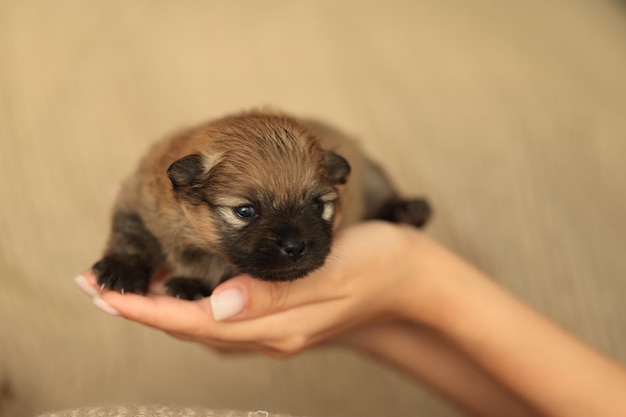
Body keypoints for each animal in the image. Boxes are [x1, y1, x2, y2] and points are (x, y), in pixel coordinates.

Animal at [91, 110, 428, 300]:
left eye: (318, 206)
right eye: (245, 211)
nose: (295, 247)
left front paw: (192, 279)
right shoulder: (138, 202)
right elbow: (131, 237)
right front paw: (121, 270)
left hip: (373, 177)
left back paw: (410, 211)